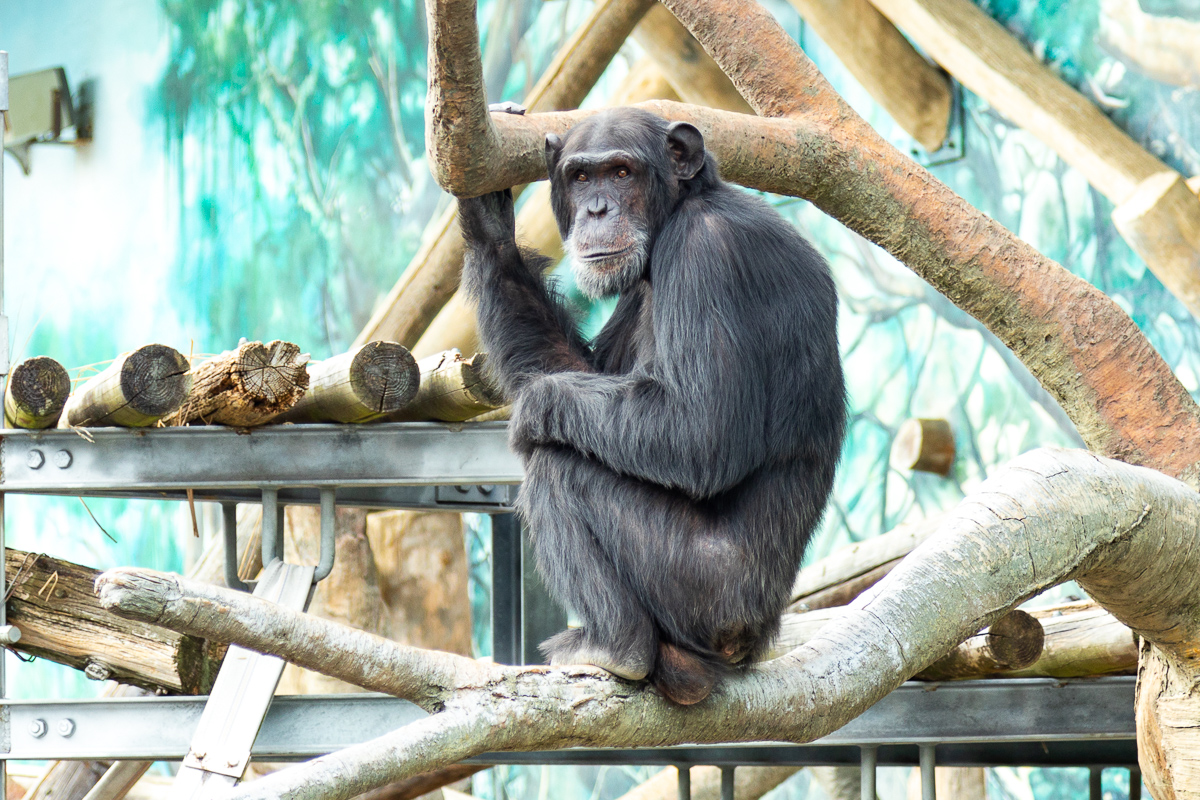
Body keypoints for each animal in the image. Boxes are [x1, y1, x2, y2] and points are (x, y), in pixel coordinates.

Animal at [458, 107, 844, 705]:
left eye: (621, 173)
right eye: (580, 177)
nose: (597, 209)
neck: (680, 210)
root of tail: (750, 642)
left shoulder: (704, 255)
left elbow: (699, 431)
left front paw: (535, 405)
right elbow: (585, 373)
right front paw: (489, 222)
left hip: (700, 588)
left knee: (559, 467)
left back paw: (615, 645)